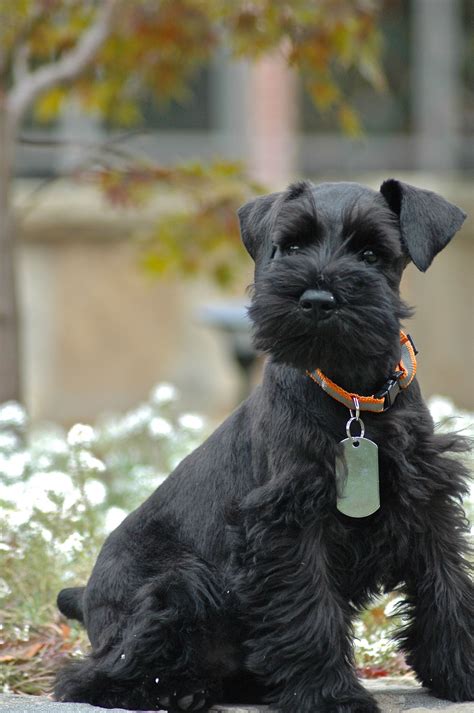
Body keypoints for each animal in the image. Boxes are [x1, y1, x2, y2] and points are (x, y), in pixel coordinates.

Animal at [54, 179, 470, 712]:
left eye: (371, 252)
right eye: (291, 246)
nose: (317, 299)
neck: (354, 398)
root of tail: (85, 595)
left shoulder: (426, 501)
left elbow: (448, 587)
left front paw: (462, 672)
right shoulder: (289, 522)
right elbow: (310, 609)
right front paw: (331, 696)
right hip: (178, 584)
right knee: (89, 676)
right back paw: (175, 691)